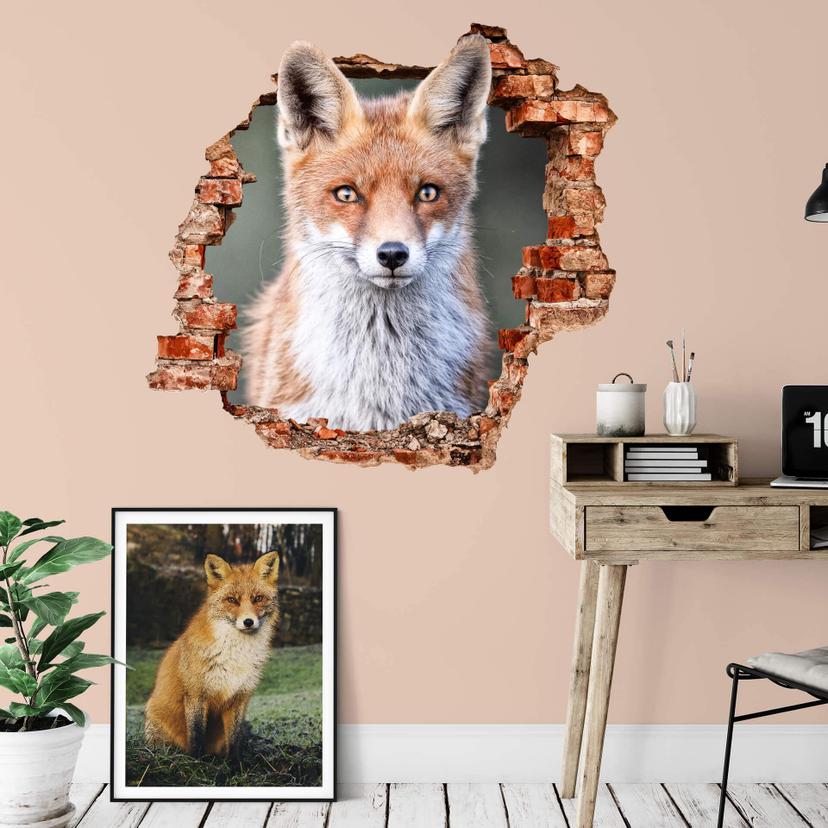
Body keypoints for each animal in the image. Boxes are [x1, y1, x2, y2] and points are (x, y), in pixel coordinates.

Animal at [143, 551, 280, 759]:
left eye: (258, 598)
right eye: (232, 600)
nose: (248, 622)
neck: (235, 655)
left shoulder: (239, 697)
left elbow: (234, 740)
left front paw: (234, 763)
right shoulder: (196, 694)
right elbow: (196, 735)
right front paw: (196, 761)